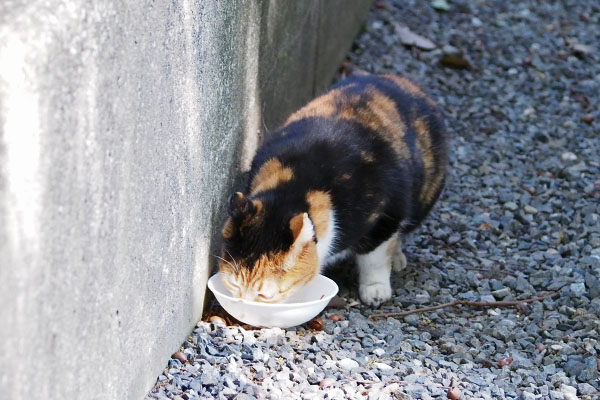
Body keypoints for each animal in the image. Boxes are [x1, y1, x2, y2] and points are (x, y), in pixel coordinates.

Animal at [218, 74, 448, 306]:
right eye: (234, 285)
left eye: (264, 295)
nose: (242, 304)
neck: (299, 184)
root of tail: (406, 83)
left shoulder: (387, 214)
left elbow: (374, 256)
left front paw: (375, 289)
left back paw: (397, 258)